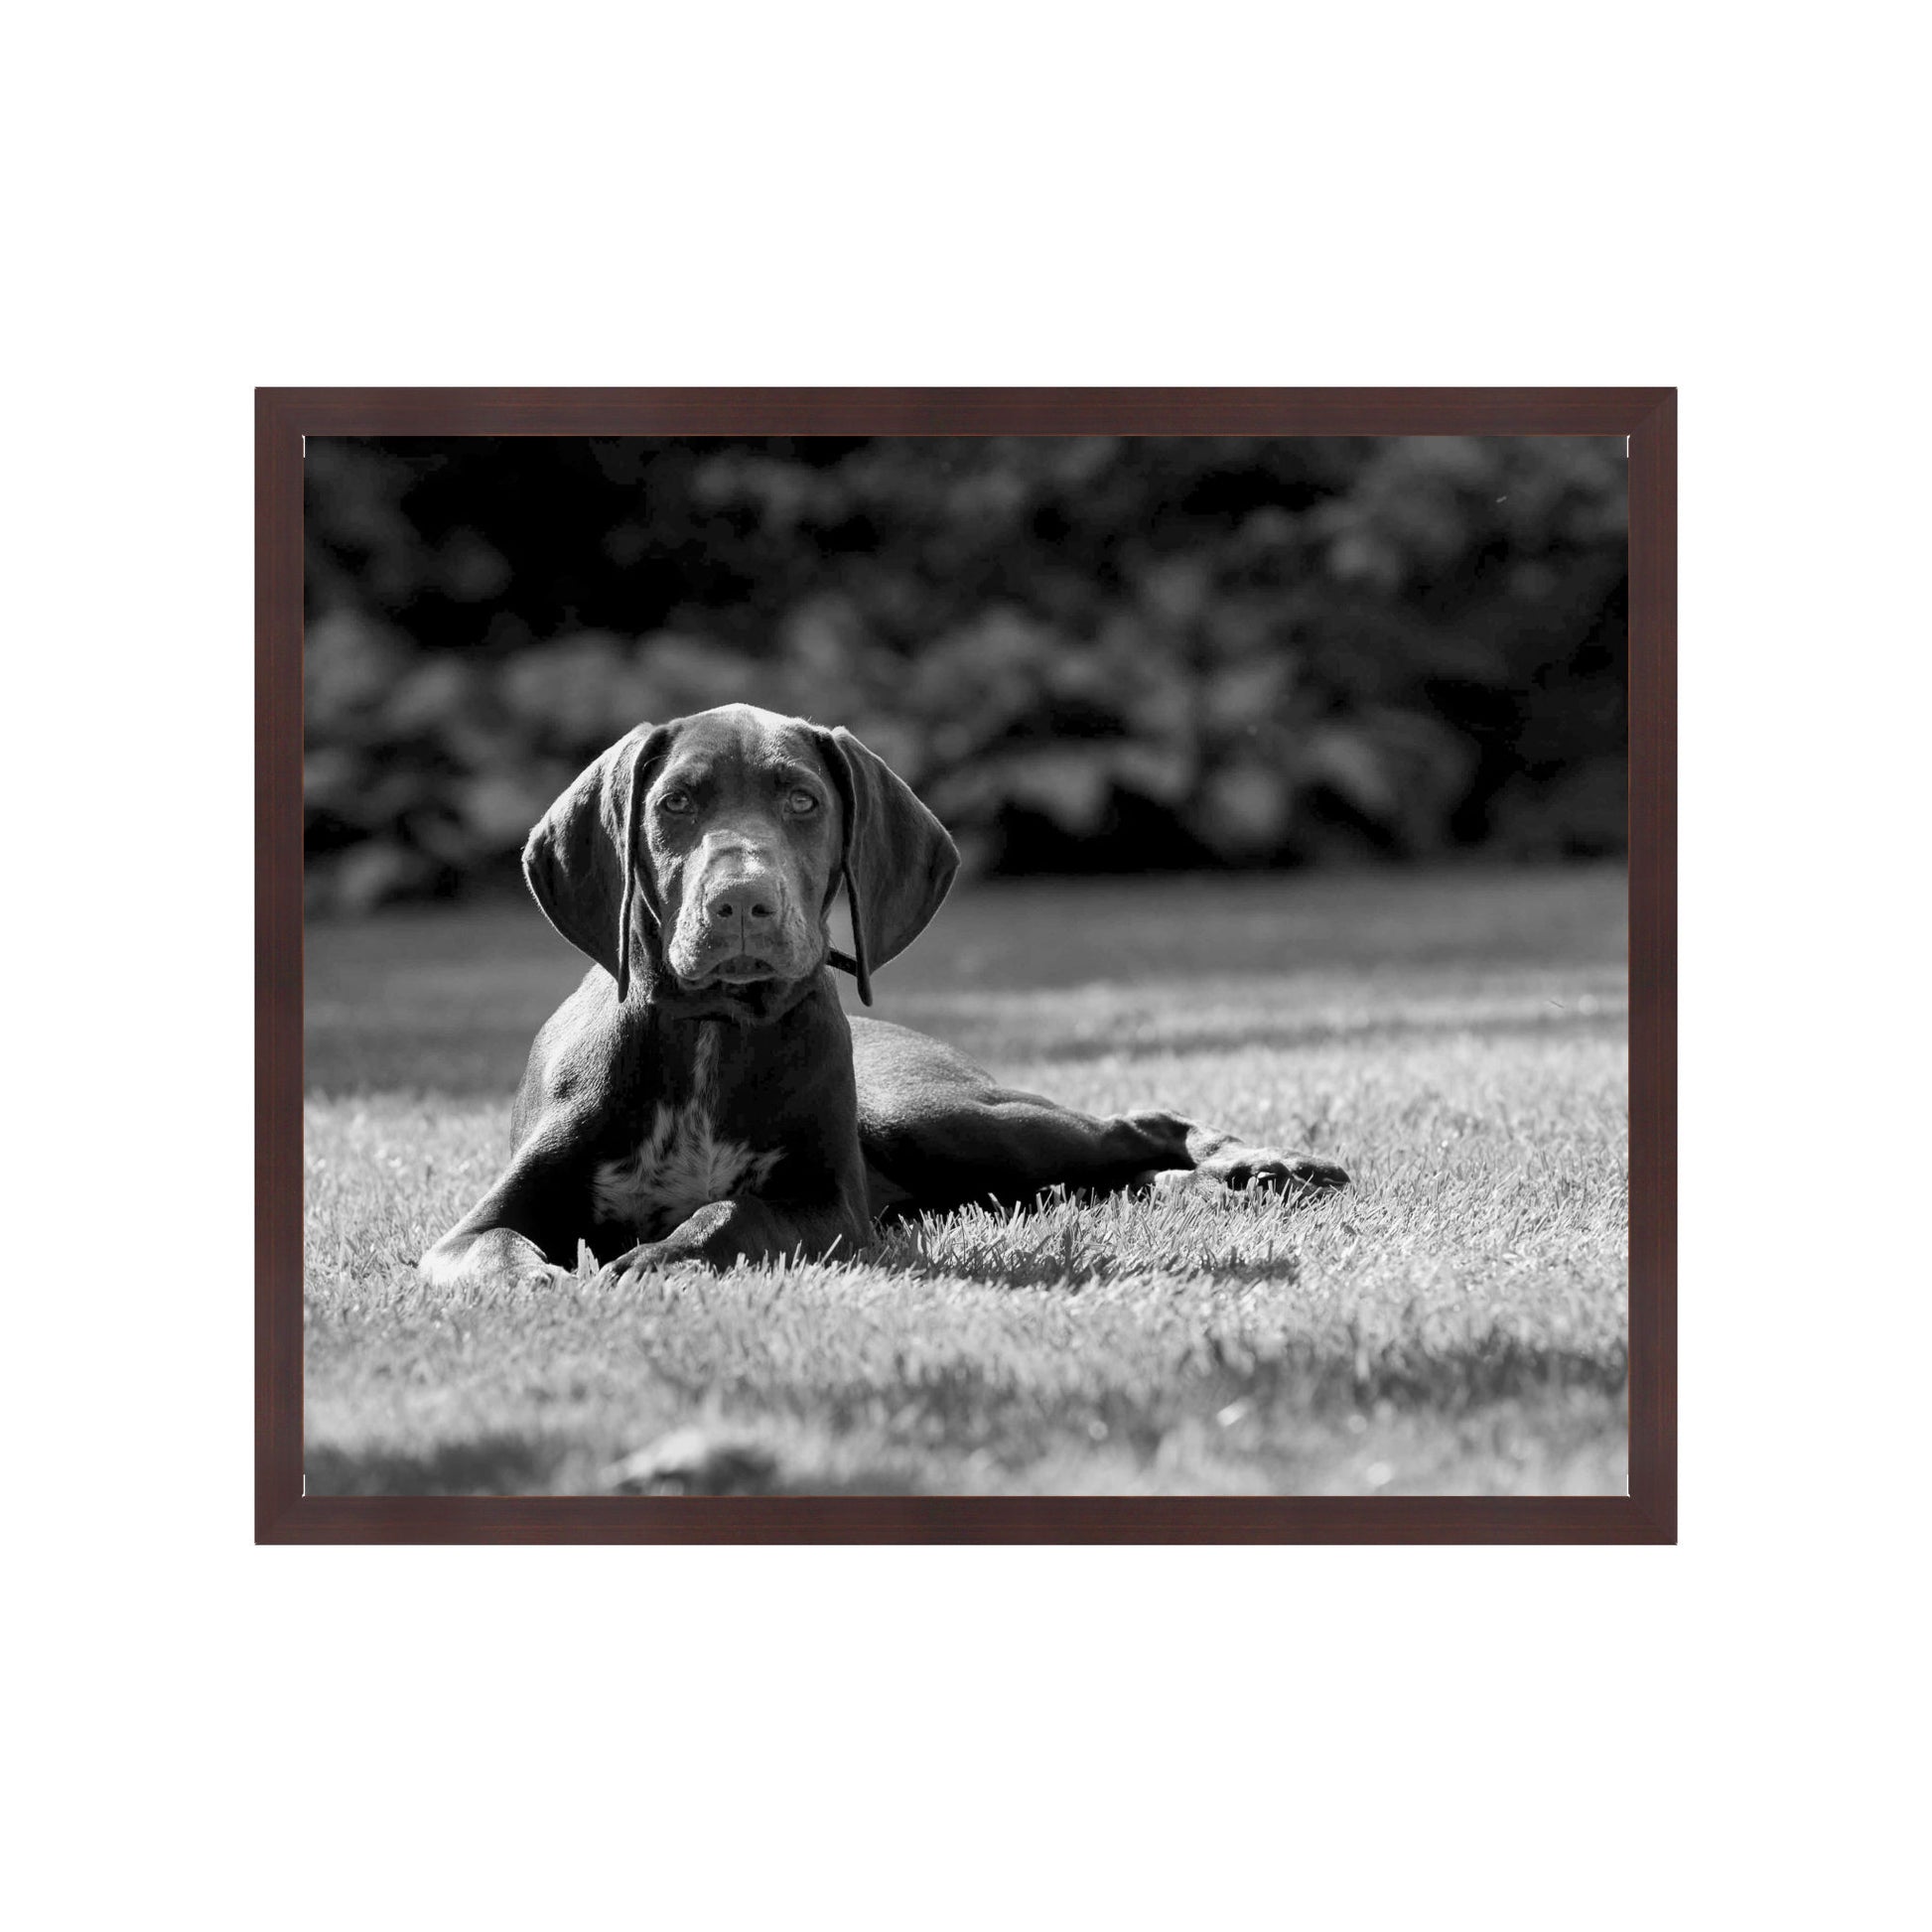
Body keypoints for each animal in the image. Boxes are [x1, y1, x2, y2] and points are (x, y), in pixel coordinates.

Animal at [421, 704, 1348, 1292]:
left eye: (803, 800)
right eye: (675, 802)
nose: (742, 903)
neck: (713, 1029)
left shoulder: (828, 1208)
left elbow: (730, 1213)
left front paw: (656, 1258)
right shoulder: (471, 1228)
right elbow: (493, 1251)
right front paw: (539, 1280)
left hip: (936, 1119)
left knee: (1132, 1127)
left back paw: (1265, 1165)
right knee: (1104, 1177)